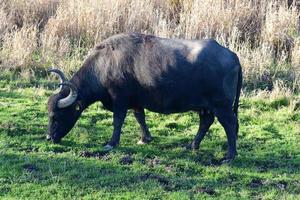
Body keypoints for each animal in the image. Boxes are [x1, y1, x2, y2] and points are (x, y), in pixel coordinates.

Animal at [47, 33, 244, 161]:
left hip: (222, 106)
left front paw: (112, 142)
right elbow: (139, 117)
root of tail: (233, 56)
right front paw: (145, 138)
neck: (104, 64)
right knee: (206, 123)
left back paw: (230, 155)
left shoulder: (119, 100)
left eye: (56, 116)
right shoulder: (136, 102)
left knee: (230, 124)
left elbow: (117, 121)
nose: (49, 138)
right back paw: (192, 145)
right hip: (206, 107)